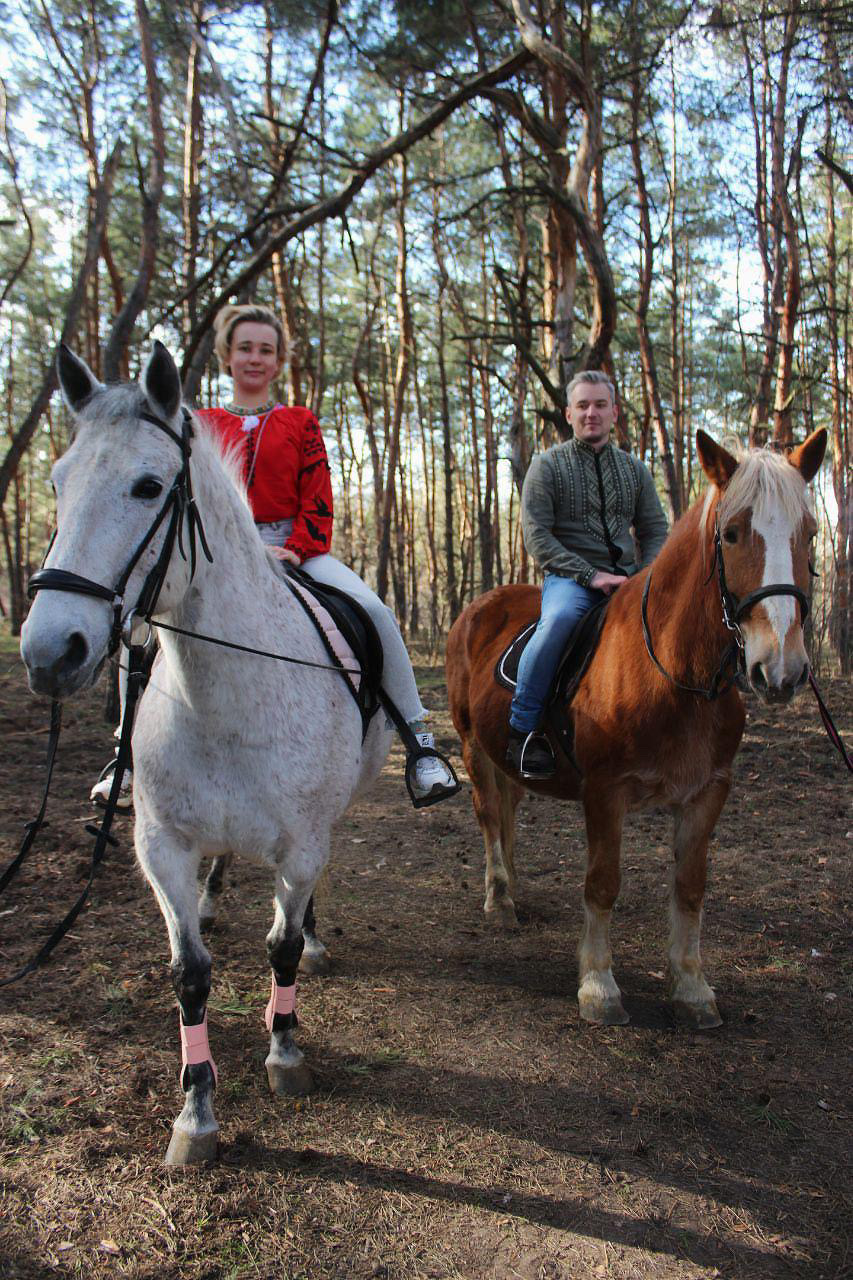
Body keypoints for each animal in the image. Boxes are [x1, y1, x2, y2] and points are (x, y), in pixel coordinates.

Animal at [19, 345, 391, 1167]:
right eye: (56, 482)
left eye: (148, 486)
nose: (48, 652)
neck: (227, 697)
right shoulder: (161, 846)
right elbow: (188, 974)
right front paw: (195, 1113)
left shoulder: (303, 842)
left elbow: (281, 946)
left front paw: (285, 1051)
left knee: (302, 909)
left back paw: (313, 937)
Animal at [445, 430, 824, 1029]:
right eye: (732, 534)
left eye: (809, 533)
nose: (781, 669)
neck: (675, 672)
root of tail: (478, 607)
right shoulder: (605, 791)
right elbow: (603, 884)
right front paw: (599, 987)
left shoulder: (708, 791)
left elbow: (690, 888)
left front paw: (692, 988)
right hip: (472, 747)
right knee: (488, 816)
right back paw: (499, 900)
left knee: (508, 812)